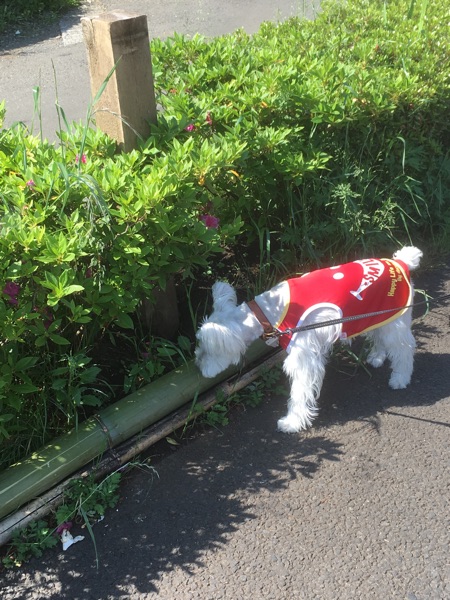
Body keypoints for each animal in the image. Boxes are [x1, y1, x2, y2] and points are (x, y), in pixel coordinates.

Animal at [195, 246, 423, 432]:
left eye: (206, 350)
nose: (198, 367)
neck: (268, 313)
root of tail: (401, 263)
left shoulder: (303, 359)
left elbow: (299, 393)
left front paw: (292, 422)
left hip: (395, 321)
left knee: (404, 348)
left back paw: (400, 378)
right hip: (374, 316)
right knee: (380, 337)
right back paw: (377, 356)